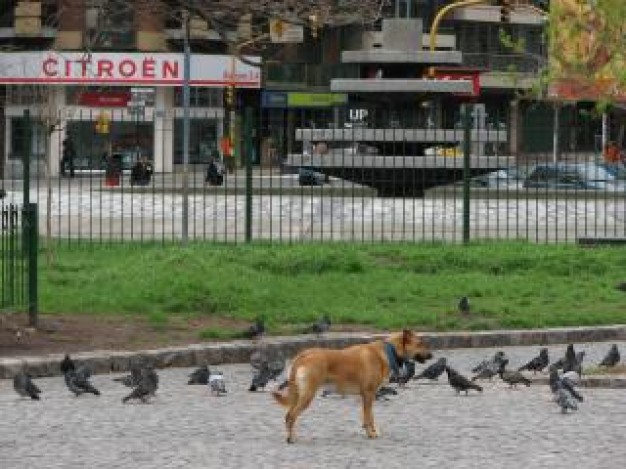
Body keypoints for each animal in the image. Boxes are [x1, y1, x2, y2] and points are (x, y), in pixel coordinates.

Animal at [270, 330, 432, 442]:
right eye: (420, 344)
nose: (431, 355)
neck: (389, 351)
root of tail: (303, 355)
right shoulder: (369, 395)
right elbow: (369, 417)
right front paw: (371, 433)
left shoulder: (367, 396)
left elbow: (367, 417)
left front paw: (369, 431)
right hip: (307, 396)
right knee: (291, 416)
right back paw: (291, 438)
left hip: (299, 395)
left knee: (288, 416)